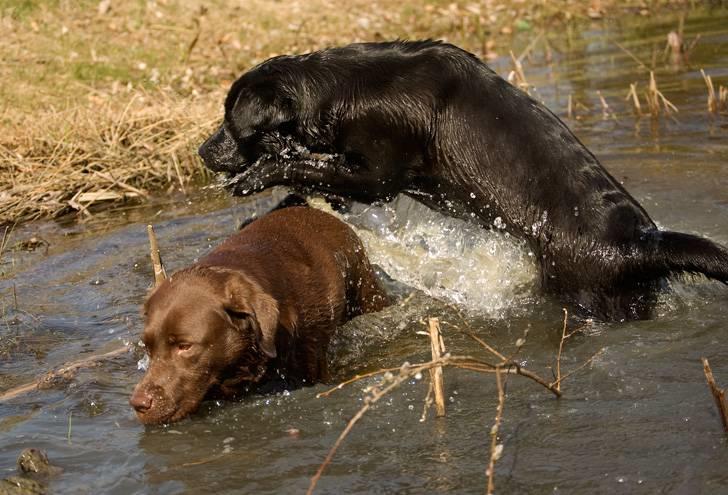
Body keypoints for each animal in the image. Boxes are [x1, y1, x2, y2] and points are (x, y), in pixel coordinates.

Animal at [199, 40, 728, 320]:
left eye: (230, 120)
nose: (203, 152)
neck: (340, 91)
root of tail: (642, 243)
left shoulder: (378, 177)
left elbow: (301, 166)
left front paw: (255, 179)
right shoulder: (353, 178)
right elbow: (311, 183)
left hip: (584, 293)